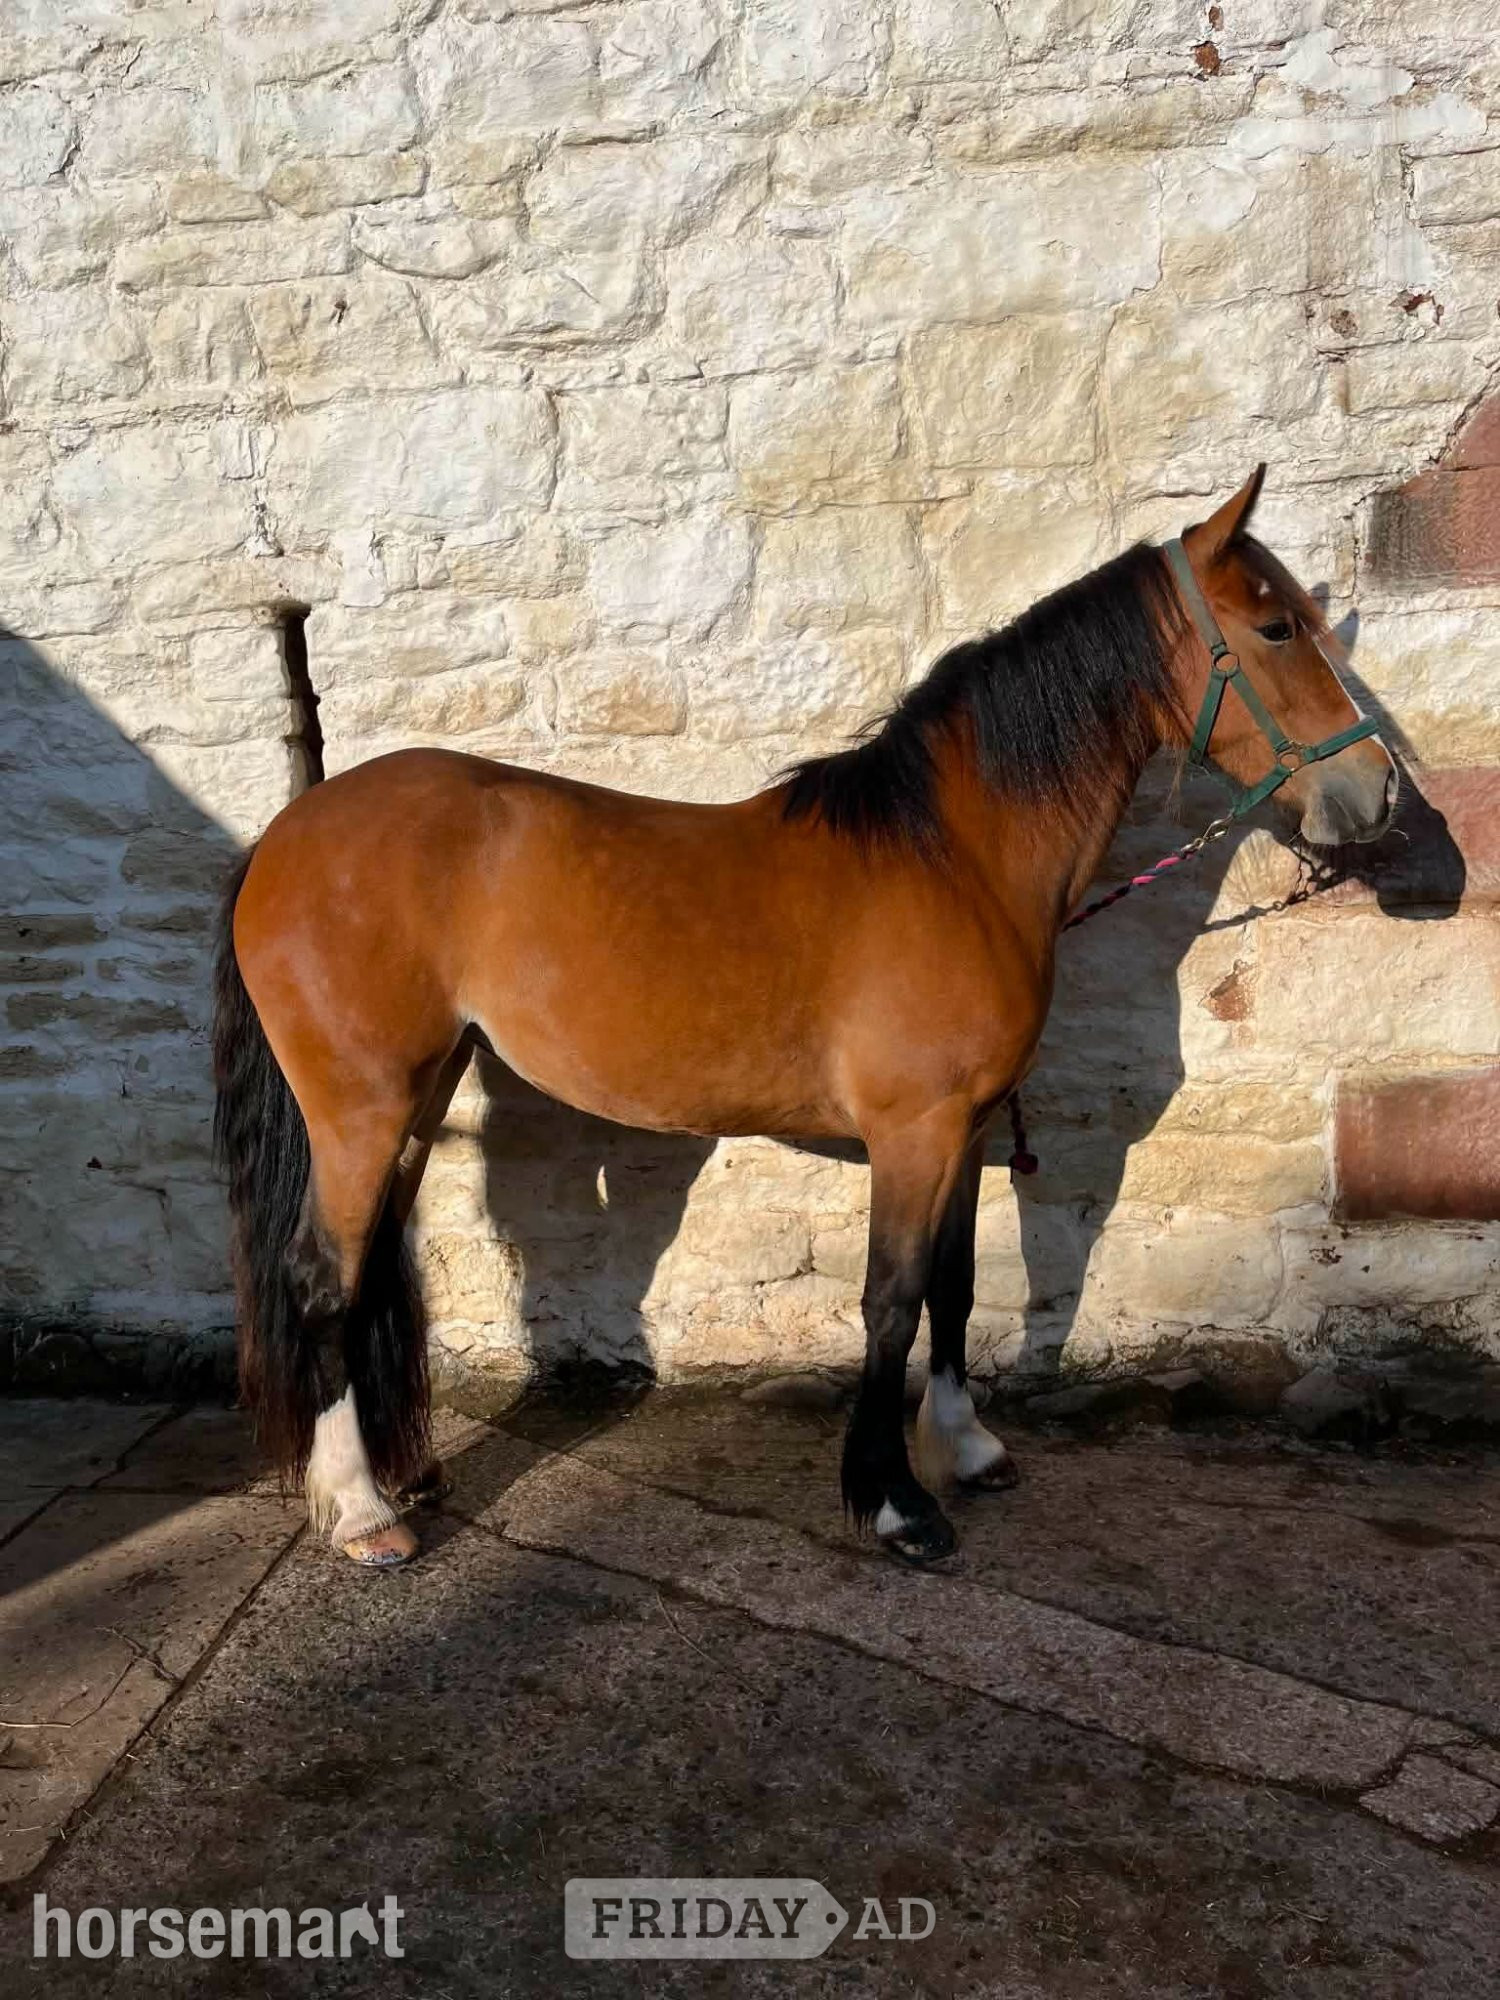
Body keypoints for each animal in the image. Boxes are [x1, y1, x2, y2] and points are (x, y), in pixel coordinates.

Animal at [213, 468, 1396, 1567]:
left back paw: (403, 1476)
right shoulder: (913, 1134)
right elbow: (892, 1300)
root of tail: (284, 837)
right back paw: (362, 1512)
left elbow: (956, 1288)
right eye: (1277, 626)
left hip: (422, 1094)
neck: (954, 858)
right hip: (362, 1111)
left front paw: (967, 1450)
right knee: (324, 1280)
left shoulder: (965, 1131)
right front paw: (895, 1502)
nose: (1378, 792)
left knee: (370, 1275)